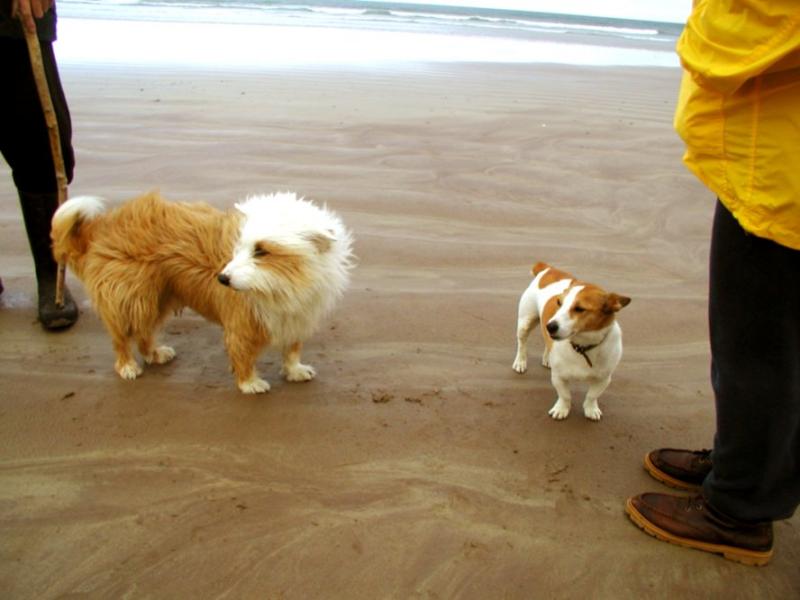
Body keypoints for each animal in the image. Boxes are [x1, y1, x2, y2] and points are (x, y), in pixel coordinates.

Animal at [50, 191, 350, 394]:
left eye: (261, 251)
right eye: (239, 247)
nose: (222, 278)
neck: (280, 284)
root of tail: (102, 227)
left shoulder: (296, 315)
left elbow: (292, 348)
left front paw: (294, 370)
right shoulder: (242, 322)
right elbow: (243, 354)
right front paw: (249, 382)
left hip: (156, 297)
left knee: (144, 331)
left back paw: (154, 354)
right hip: (132, 298)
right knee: (122, 336)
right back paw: (127, 366)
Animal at [512, 262, 632, 422]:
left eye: (580, 309)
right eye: (558, 303)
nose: (549, 326)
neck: (582, 347)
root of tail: (549, 268)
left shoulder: (604, 379)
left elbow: (592, 395)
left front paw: (591, 409)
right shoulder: (558, 377)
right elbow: (565, 396)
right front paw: (561, 409)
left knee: (547, 343)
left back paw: (547, 358)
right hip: (525, 322)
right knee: (522, 343)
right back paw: (520, 362)